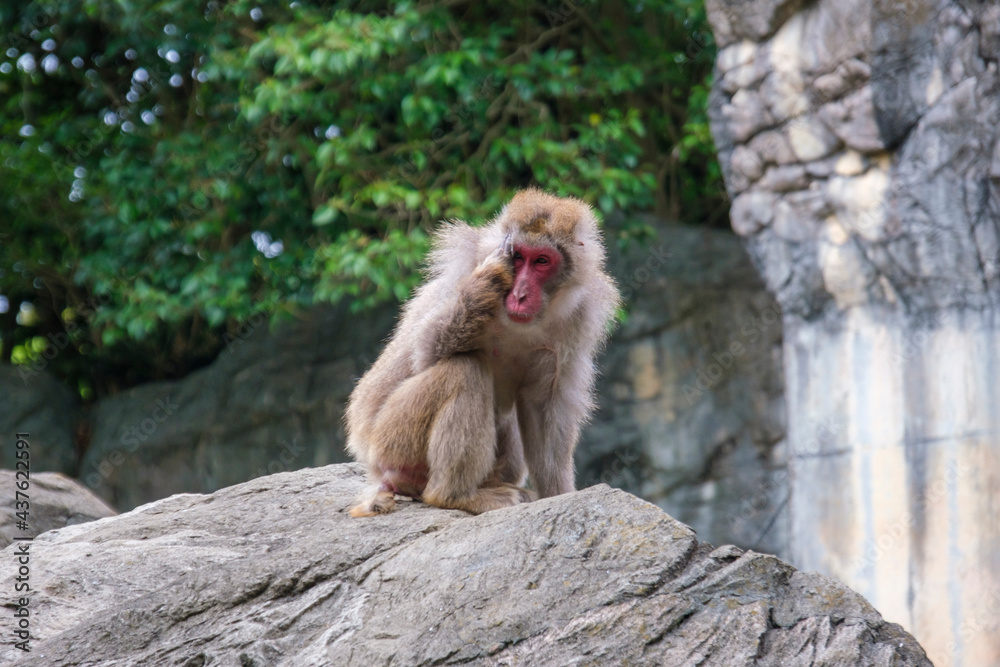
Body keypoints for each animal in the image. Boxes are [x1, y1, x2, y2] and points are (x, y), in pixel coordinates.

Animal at [348, 188, 620, 516]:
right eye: (518, 257)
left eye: (542, 261)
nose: (519, 295)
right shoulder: (464, 267)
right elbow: (422, 351)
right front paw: (487, 281)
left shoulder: (582, 317)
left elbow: (543, 406)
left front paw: (558, 495)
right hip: (391, 440)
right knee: (464, 370)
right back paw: (455, 496)